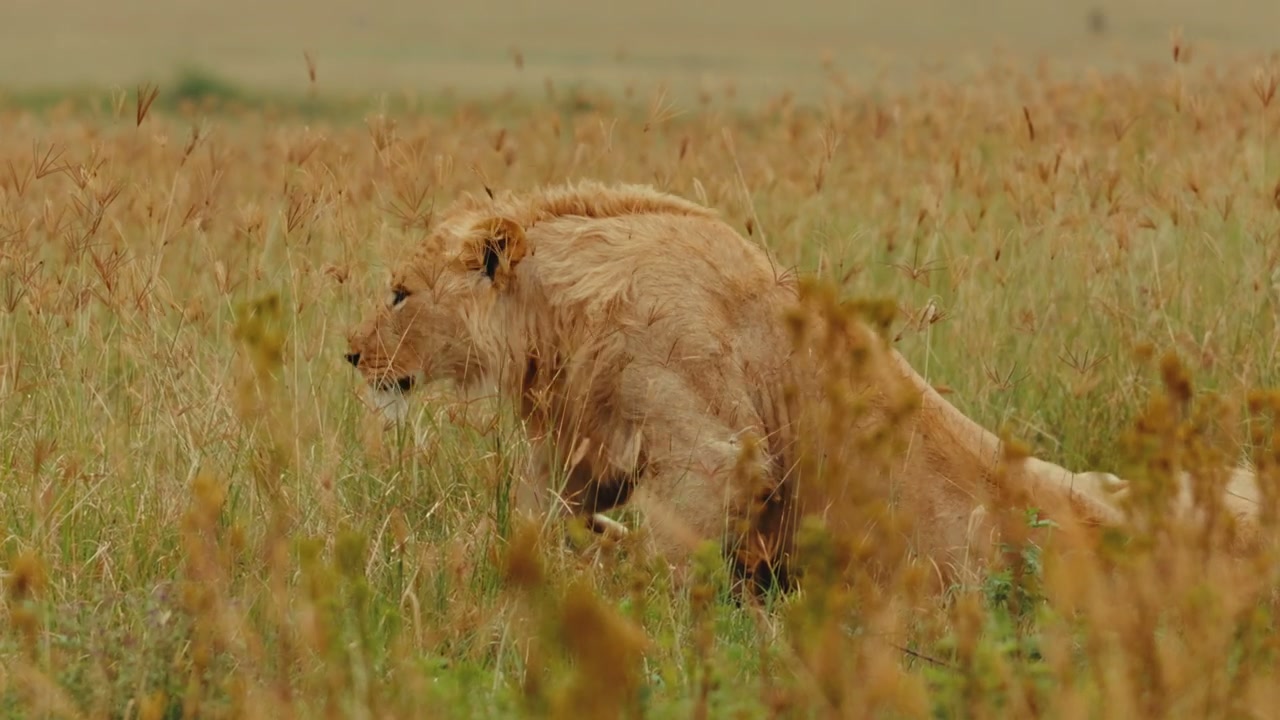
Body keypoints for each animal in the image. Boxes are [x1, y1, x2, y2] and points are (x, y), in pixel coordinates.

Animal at [344, 179, 1264, 593]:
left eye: (398, 294)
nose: (351, 355)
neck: (556, 320)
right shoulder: (578, 442)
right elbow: (533, 521)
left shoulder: (711, 432)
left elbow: (680, 536)